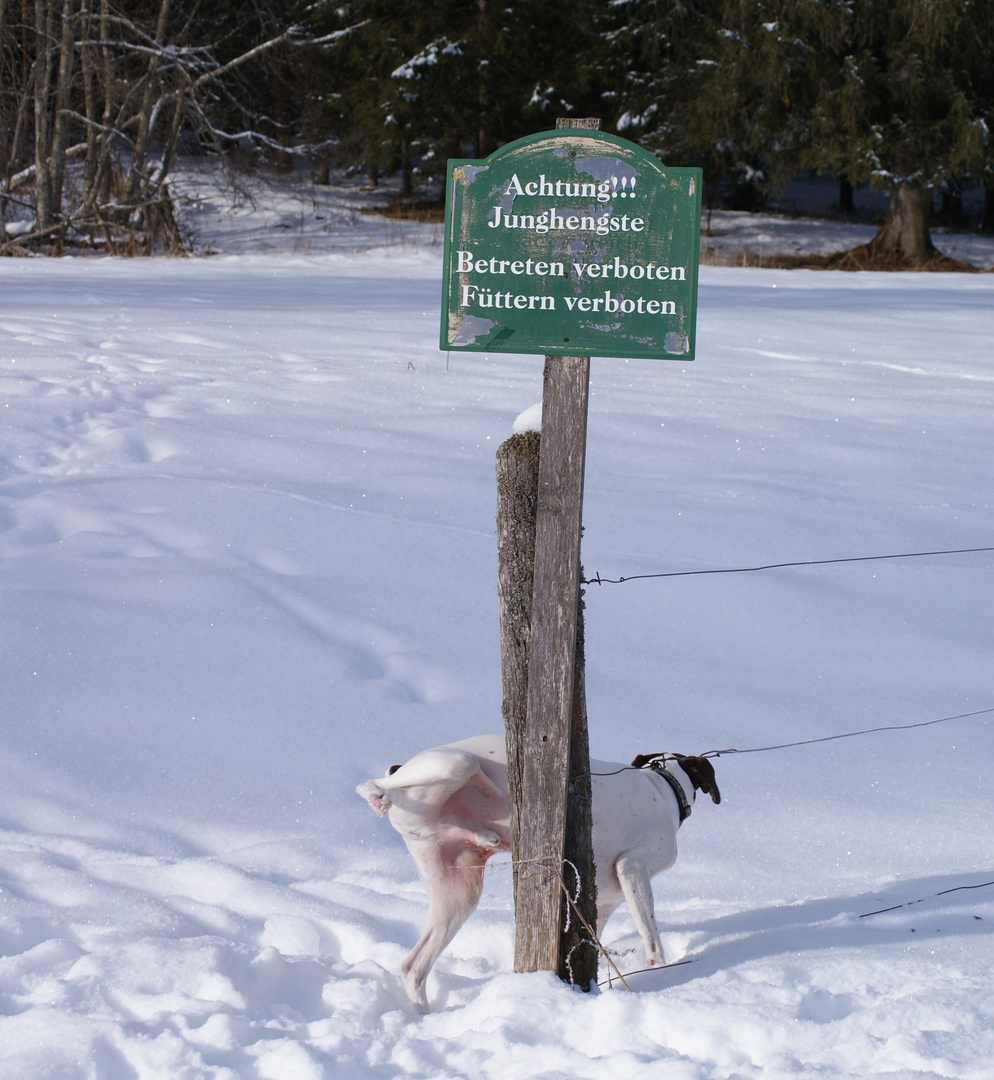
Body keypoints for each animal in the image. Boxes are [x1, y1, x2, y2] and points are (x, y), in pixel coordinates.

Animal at [356, 734, 721, 1010]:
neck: (664, 785)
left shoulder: (602, 903)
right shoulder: (632, 866)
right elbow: (651, 932)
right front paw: (660, 967)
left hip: (457, 892)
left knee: (413, 968)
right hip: (455, 764)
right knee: (372, 784)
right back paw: (377, 794)